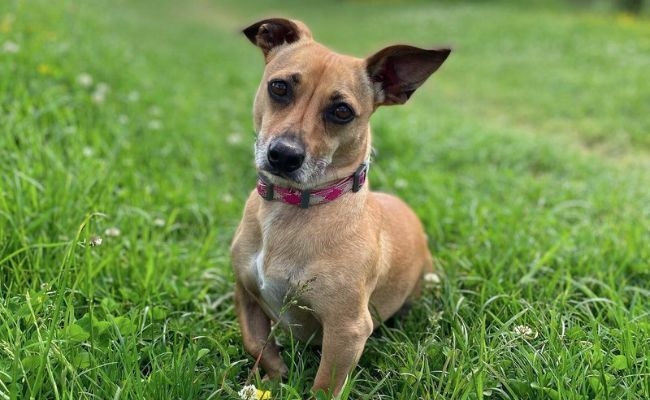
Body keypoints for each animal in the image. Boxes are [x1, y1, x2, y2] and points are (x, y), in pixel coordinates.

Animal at [230, 17, 448, 396]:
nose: (284, 155)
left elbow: (323, 386)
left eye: (342, 111)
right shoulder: (245, 295)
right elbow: (256, 343)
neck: (294, 204)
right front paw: (274, 378)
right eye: (279, 87)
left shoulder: (346, 330)